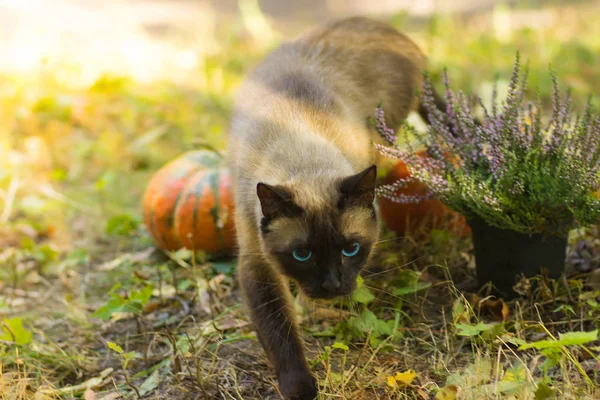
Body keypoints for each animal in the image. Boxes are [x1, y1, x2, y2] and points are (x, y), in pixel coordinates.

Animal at [229, 16, 432, 400]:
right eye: (302, 254)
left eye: (351, 248)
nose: (332, 285)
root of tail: (383, 26)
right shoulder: (257, 264)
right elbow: (280, 332)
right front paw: (299, 388)